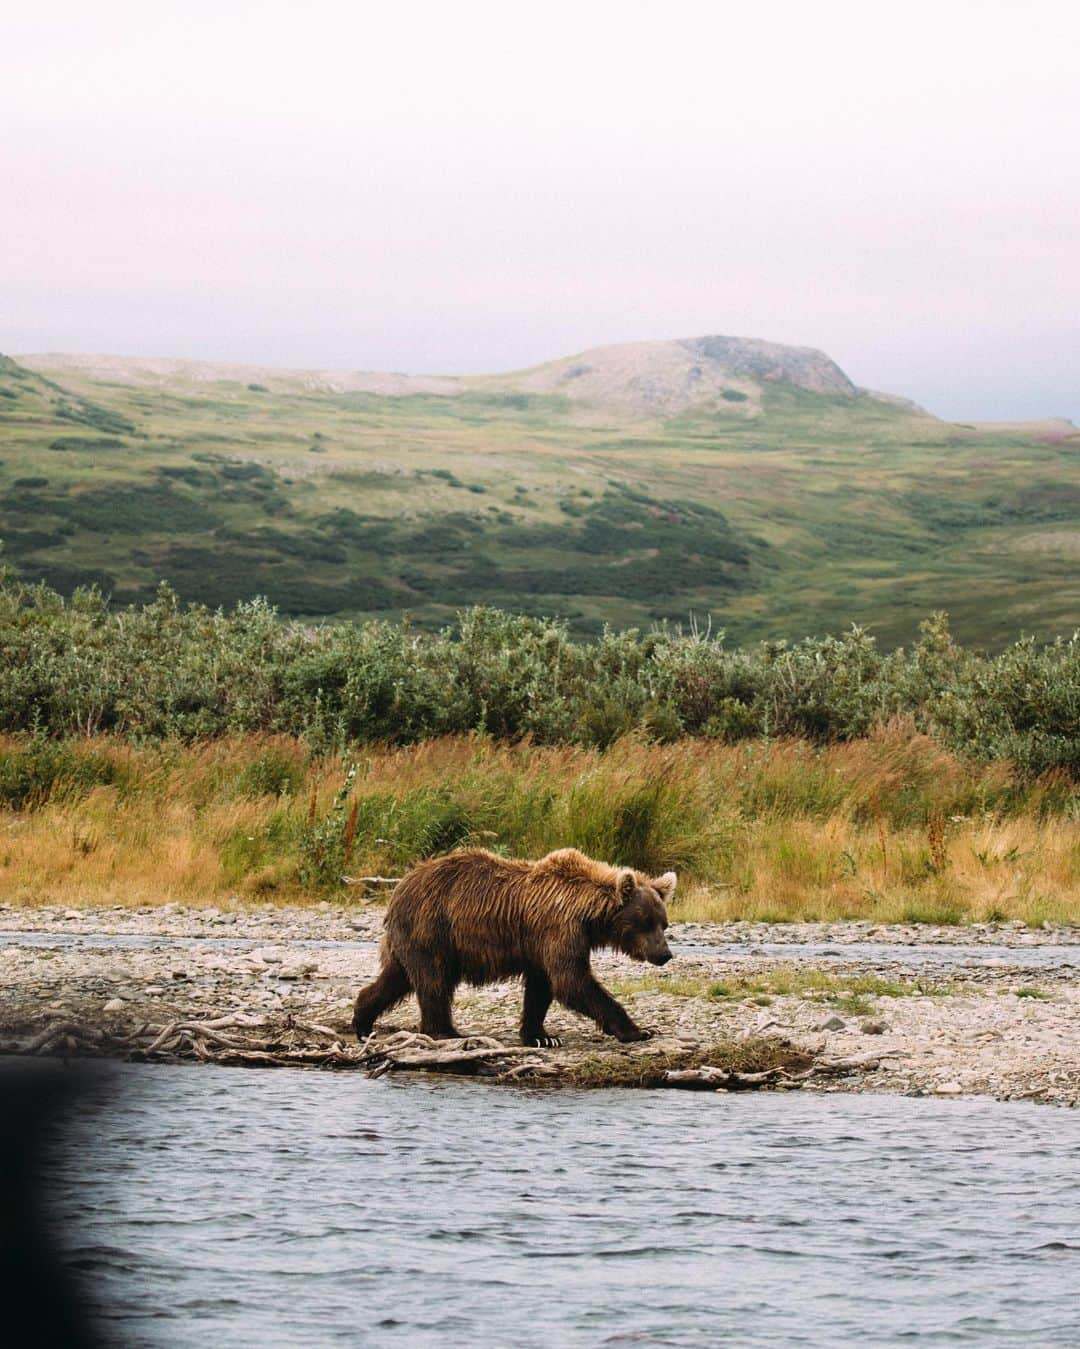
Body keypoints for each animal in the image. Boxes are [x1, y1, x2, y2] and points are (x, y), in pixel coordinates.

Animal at [353, 847, 674, 1046]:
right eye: (645, 922)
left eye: (664, 923)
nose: (665, 954)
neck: (587, 916)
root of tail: (398, 889)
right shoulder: (558, 930)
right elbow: (572, 981)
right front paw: (638, 1030)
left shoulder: (540, 945)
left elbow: (541, 988)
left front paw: (541, 1036)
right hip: (432, 928)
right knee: (434, 982)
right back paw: (446, 1032)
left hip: (415, 939)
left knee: (397, 978)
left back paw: (362, 1021)